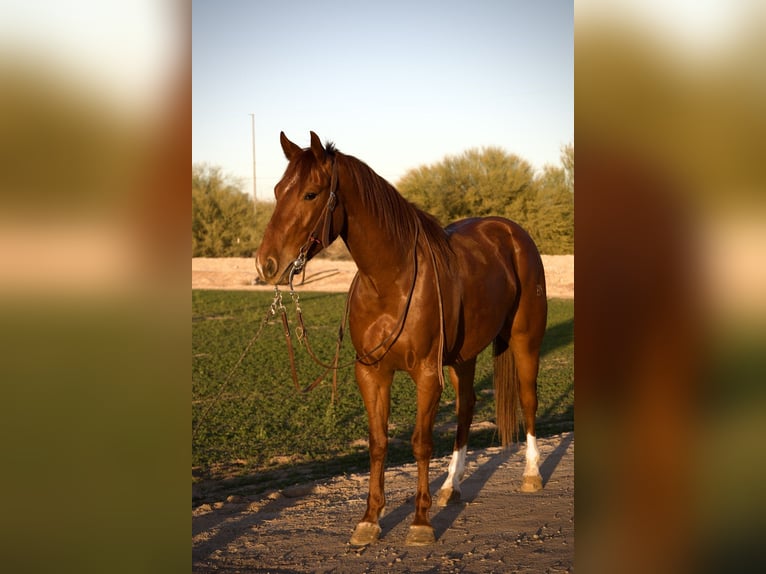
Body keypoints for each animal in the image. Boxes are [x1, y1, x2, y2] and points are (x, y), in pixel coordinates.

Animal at [255, 132, 548, 546]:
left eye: (311, 194)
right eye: (278, 191)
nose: (266, 264)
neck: (390, 281)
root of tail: (511, 232)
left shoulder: (426, 374)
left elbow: (420, 443)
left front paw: (421, 523)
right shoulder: (372, 373)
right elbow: (378, 443)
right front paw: (369, 520)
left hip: (525, 341)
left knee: (528, 399)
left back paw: (531, 474)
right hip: (462, 358)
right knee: (466, 409)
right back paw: (451, 487)